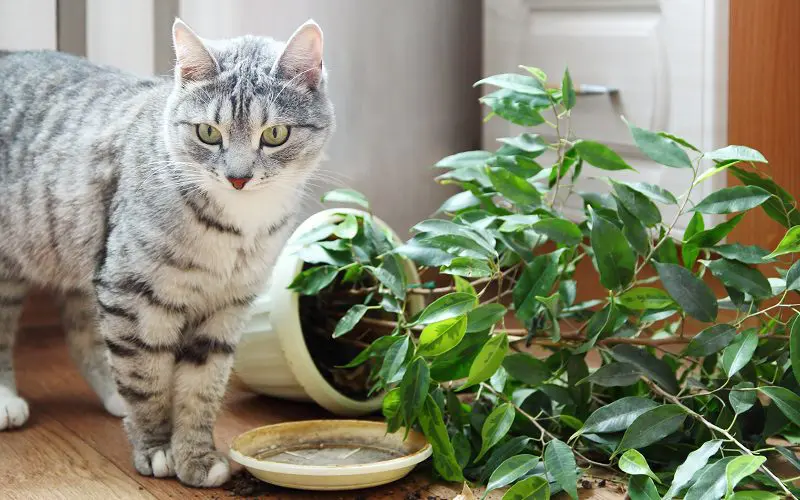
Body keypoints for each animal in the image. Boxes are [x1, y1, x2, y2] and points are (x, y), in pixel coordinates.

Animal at [0, 17, 332, 486]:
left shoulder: (225, 307)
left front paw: (196, 455)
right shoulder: (133, 295)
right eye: (208, 133)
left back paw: (113, 398)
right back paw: (7, 400)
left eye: (275, 134)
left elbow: (201, 387)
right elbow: (146, 379)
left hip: (85, 251)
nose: (238, 178)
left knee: (83, 335)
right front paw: (157, 448)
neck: (236, 226)